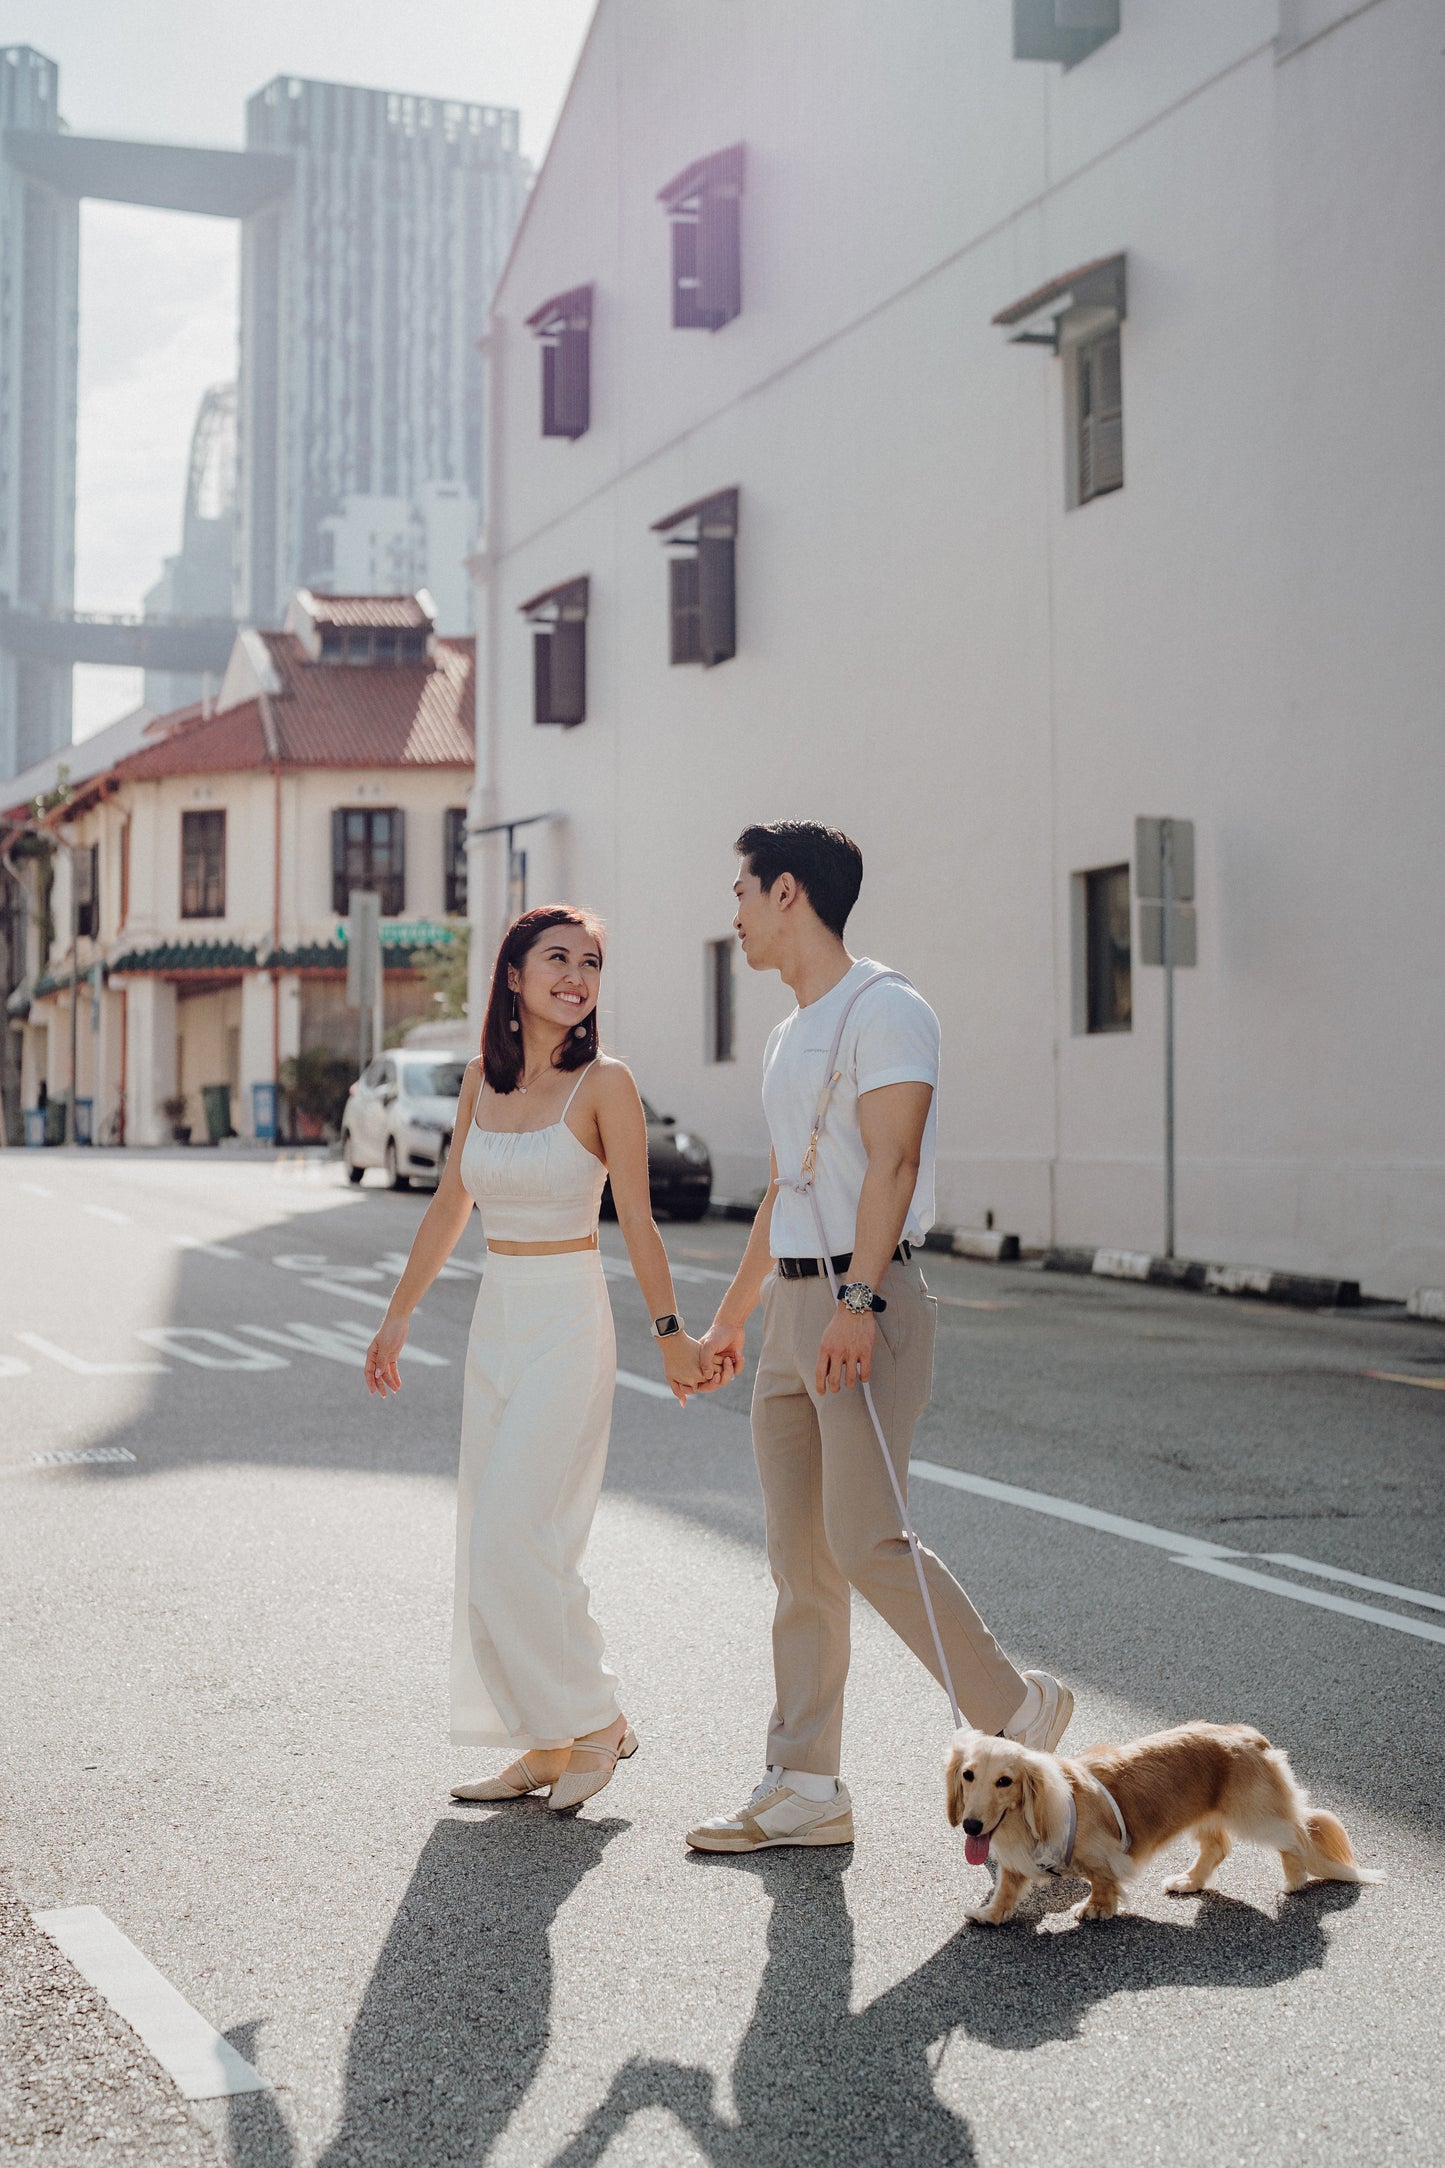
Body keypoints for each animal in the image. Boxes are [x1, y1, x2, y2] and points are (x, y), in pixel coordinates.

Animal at [944, 1717, 1386, 1925]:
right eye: (968, 1775)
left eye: (1005, 1781)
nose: (971, 1826)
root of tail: (1251, 1737)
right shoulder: (1015, 1867)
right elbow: (1005, 1890)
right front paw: (990, 1915)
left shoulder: (1104, 1857)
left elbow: (1103, 1883)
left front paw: (1095, 1909)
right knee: (1216, 1848)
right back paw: (1189, 1881)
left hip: (1255, 1816)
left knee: (1295, 1836)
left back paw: (1295, 1879)